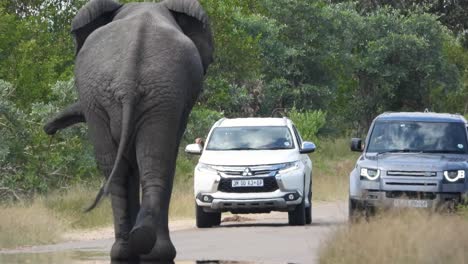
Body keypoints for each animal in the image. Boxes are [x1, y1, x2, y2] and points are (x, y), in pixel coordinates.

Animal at [44, 0, 212, 260]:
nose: (48, 129)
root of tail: (128, 80)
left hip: (128, 98)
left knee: (130, 167)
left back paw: (137, 249)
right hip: (127, 95)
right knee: (148, 165)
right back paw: (139, 247)